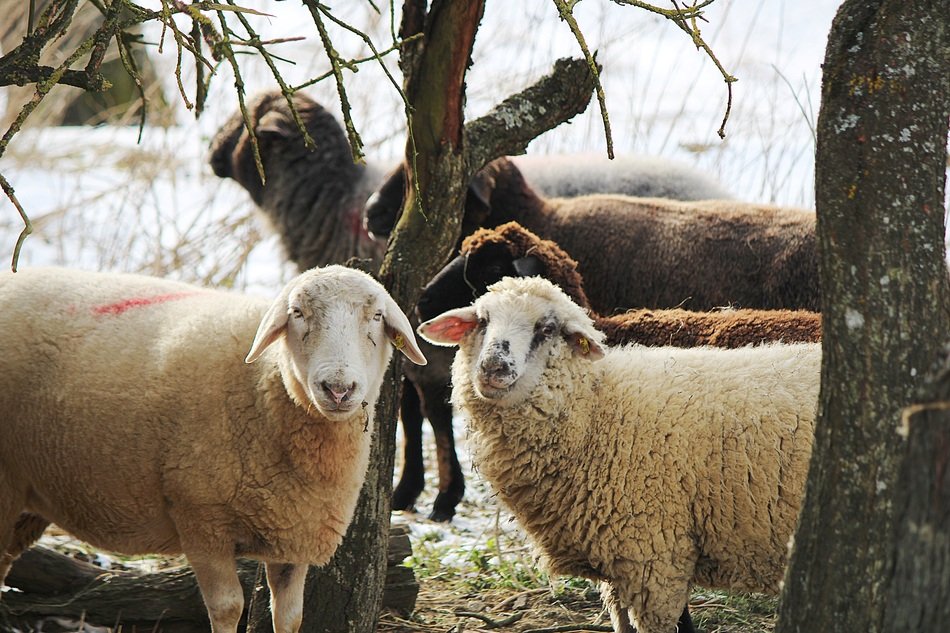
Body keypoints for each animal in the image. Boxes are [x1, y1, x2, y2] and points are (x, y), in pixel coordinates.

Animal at [0, 265, 426, 633]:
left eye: (376, 316)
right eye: (297, 313)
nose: (338, 389)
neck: (265, 385)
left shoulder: (294, 532)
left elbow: (289, 616)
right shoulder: (201, 520)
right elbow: (228, 608)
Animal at [417, 276, 820, 633]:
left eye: (546, 328)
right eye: (482, 320)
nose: (493, 368)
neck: (596, 409)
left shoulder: (654, 556)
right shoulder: (617, 563)